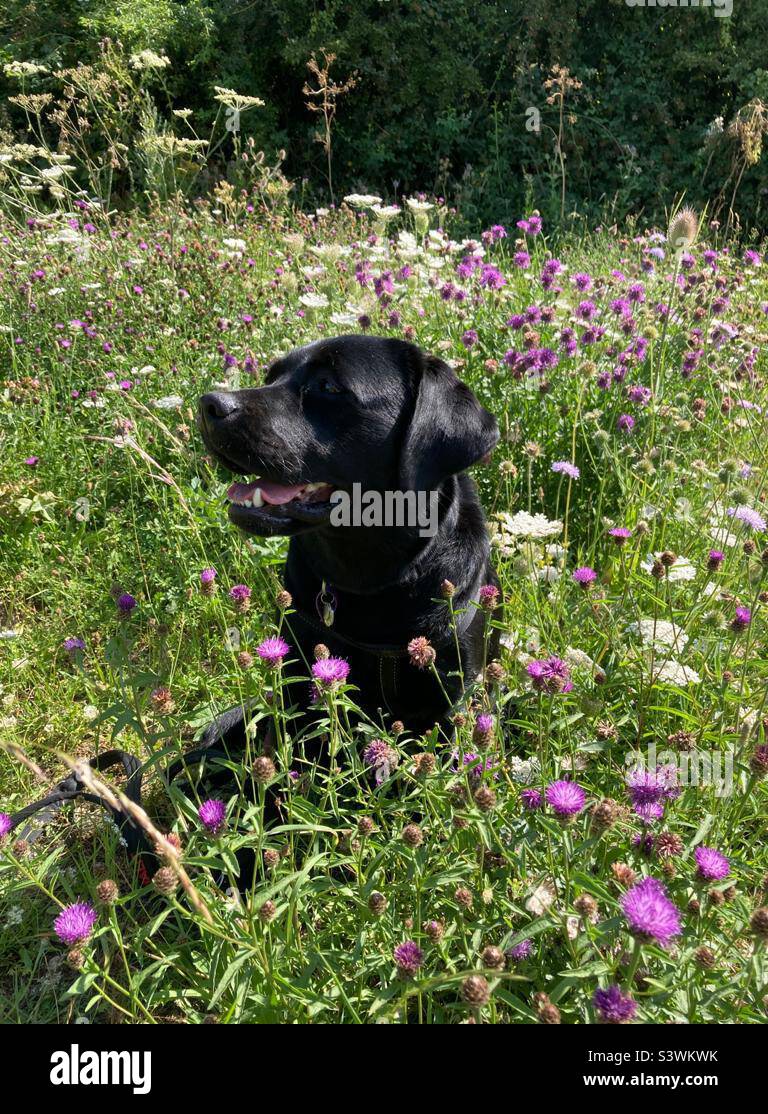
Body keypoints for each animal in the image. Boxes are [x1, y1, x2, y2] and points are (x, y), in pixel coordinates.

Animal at [196, 329, 497, 748]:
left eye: (327, 386)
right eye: (271, 376)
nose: (209, 404)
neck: (371, 574)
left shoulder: (458, 700)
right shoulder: (296, 684)